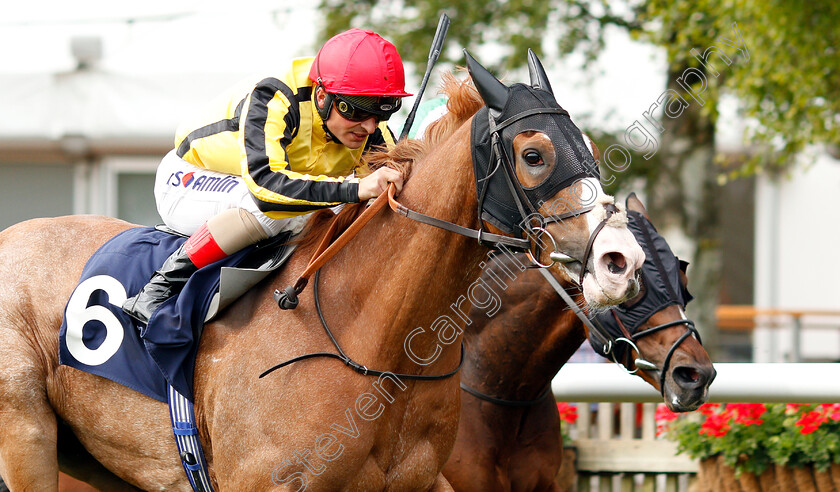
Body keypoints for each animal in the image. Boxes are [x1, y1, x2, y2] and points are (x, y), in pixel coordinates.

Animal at [0, 52, 648, 490]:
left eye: (591, 150)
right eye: (534, 154)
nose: (623, 260)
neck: (373, 340)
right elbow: (270, 181)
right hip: (26, 436)